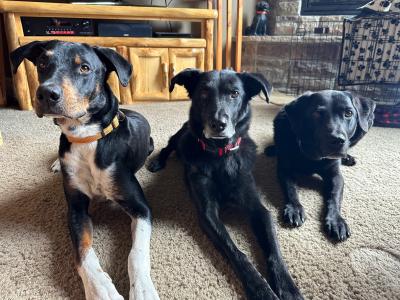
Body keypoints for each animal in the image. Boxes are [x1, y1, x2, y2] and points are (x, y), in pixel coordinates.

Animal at [11, 40, 158, 300]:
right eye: (42, 63)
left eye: (85, 68)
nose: (45, 93)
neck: (86, 136)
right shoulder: (76, 209)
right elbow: (83, 253)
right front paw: (101, 290)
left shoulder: (141, 207)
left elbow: (136, 254)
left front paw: (143, 290)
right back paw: (56, 163)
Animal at [148, 68, 302, 300]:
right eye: (203, 93)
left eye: (234, 93)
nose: (218, 124)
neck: (220, 156)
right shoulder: (207, 213)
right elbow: (236, 252)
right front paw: (260, 288)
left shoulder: (258, 208)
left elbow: (273, 248)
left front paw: (287, 287)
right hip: (181, 136)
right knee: (168, 146)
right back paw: (157, 161)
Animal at [266, 90, 376, 243]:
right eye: (317, 113)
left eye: (348, 113)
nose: (337, 140)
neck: (312, 156)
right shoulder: (285, 170)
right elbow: (291, 189)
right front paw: (295, 208)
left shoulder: (335, 176)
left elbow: (334, 196)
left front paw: (336, 221)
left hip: (366, 126)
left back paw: (347, 157)